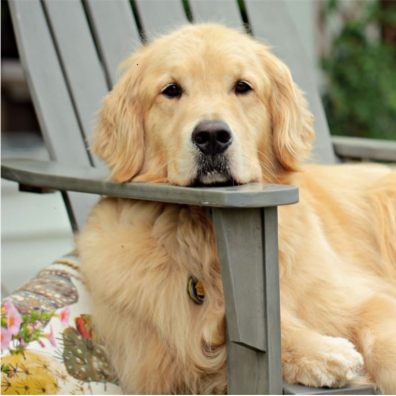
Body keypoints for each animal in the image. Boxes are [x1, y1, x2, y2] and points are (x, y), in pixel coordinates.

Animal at [78, 24, 396, 392]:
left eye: (242, 87)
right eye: (171, 90)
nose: (212, 136)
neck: (203, 234)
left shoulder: (360, 297)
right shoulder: (157, 355)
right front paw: (323, 352)